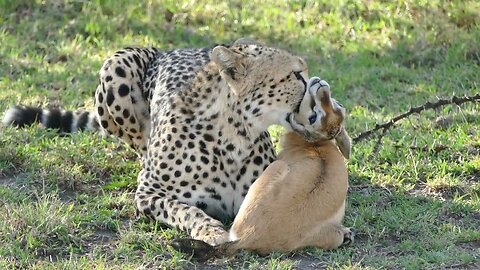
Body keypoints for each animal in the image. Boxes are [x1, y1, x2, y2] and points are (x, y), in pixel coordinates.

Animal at [1, 39, 310, 245]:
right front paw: (211, 231)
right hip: (116, 66)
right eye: (295, 75)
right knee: (139, 145)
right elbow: (185, 210)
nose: (315, 83)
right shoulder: (149, 193)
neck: (234, 136)